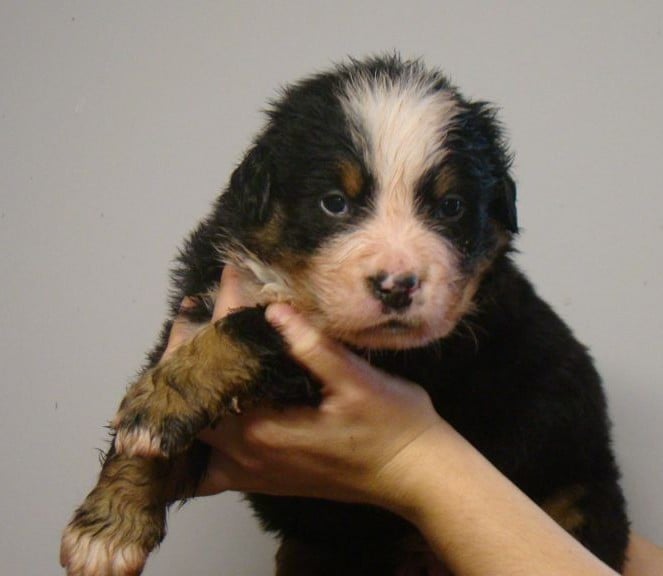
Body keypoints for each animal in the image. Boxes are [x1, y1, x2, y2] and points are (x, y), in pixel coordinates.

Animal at [61, 55, 629, 575]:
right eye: (334, 202)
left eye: (450, 207)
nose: (397, 286)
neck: (290, 285)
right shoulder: (201, 294)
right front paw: (110, 524)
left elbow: (249, 329)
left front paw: (160, 405)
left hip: (577, 492)